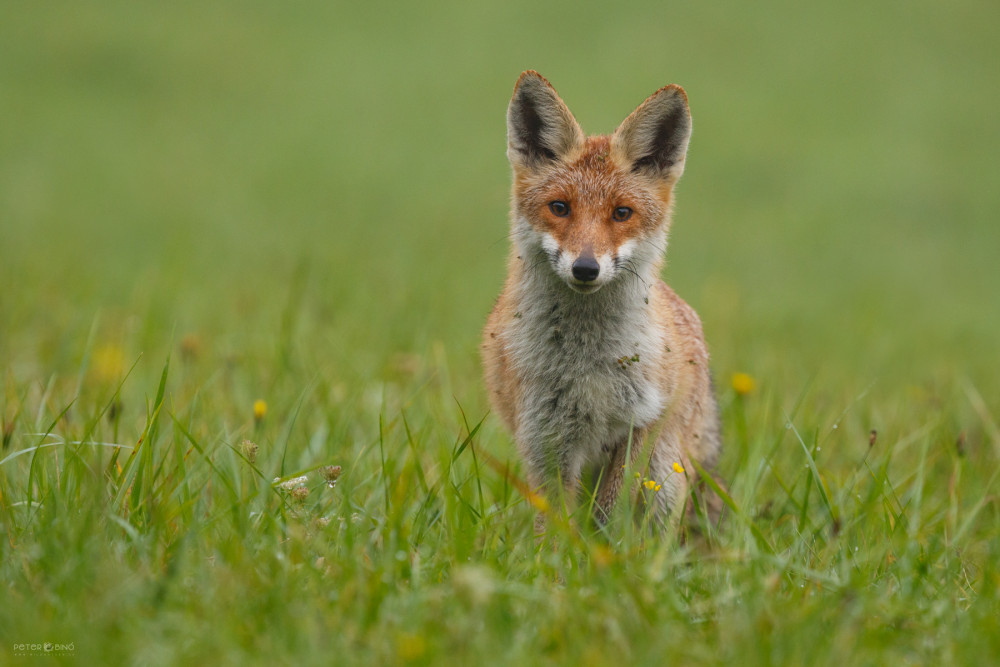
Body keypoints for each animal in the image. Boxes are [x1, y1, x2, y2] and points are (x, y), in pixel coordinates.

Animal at [482, 72, 724, 532]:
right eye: (560, 208)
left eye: (621, 213)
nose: (585, 269)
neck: (586, 366)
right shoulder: (545, 439)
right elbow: (555, 528)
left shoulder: (640, 425)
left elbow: (609, 517)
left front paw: (605, 552)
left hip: (666, 473)